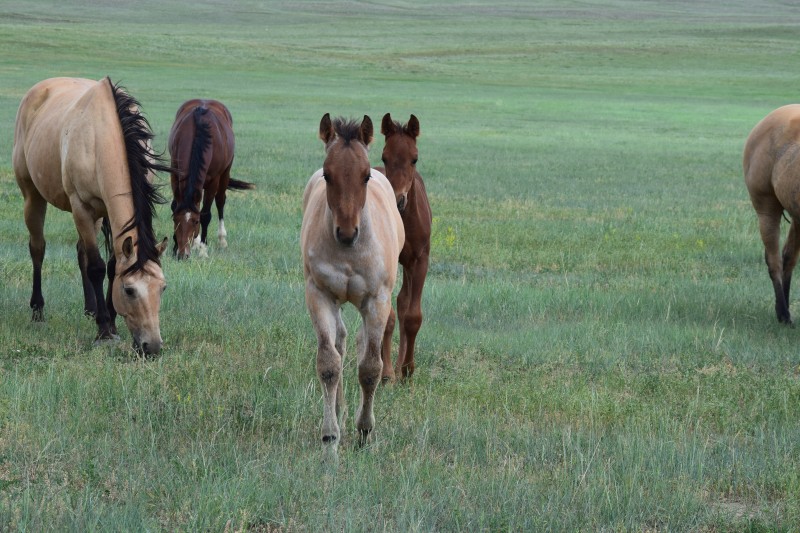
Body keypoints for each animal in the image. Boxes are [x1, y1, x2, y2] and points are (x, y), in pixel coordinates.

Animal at [12, 77, 169, 355]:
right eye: (130, 290)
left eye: (162, 288)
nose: (151, 346)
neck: (102, 136)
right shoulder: (82, 208)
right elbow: (97, 267)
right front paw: (104, 330)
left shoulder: (107, 213)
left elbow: (112, 266)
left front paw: (110, 319)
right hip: (32, 196)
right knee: (38, 249)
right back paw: (38, 310)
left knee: (80, 251)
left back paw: (90, 308)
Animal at [168, 99, 254, 259]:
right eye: (175, 220)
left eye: (196, 222)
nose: (183, 254)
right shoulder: (175, 174)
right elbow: (175, 205)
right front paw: (176, 247)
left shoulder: (214, 180)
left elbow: (206, 214)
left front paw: (203, 250)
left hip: (225, 173)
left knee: (220, 201)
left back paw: (221, 240)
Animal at [301, 114, 404, 457]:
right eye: (328, 175)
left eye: (366, 175)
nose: (347, 233)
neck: (348, 253)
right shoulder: (319, 295)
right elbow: (329, 363)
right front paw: (330, 436)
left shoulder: (377, 300)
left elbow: (371, 368)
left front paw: (364, 431)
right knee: (342, 343)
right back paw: (341, 410)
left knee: (359, 344)